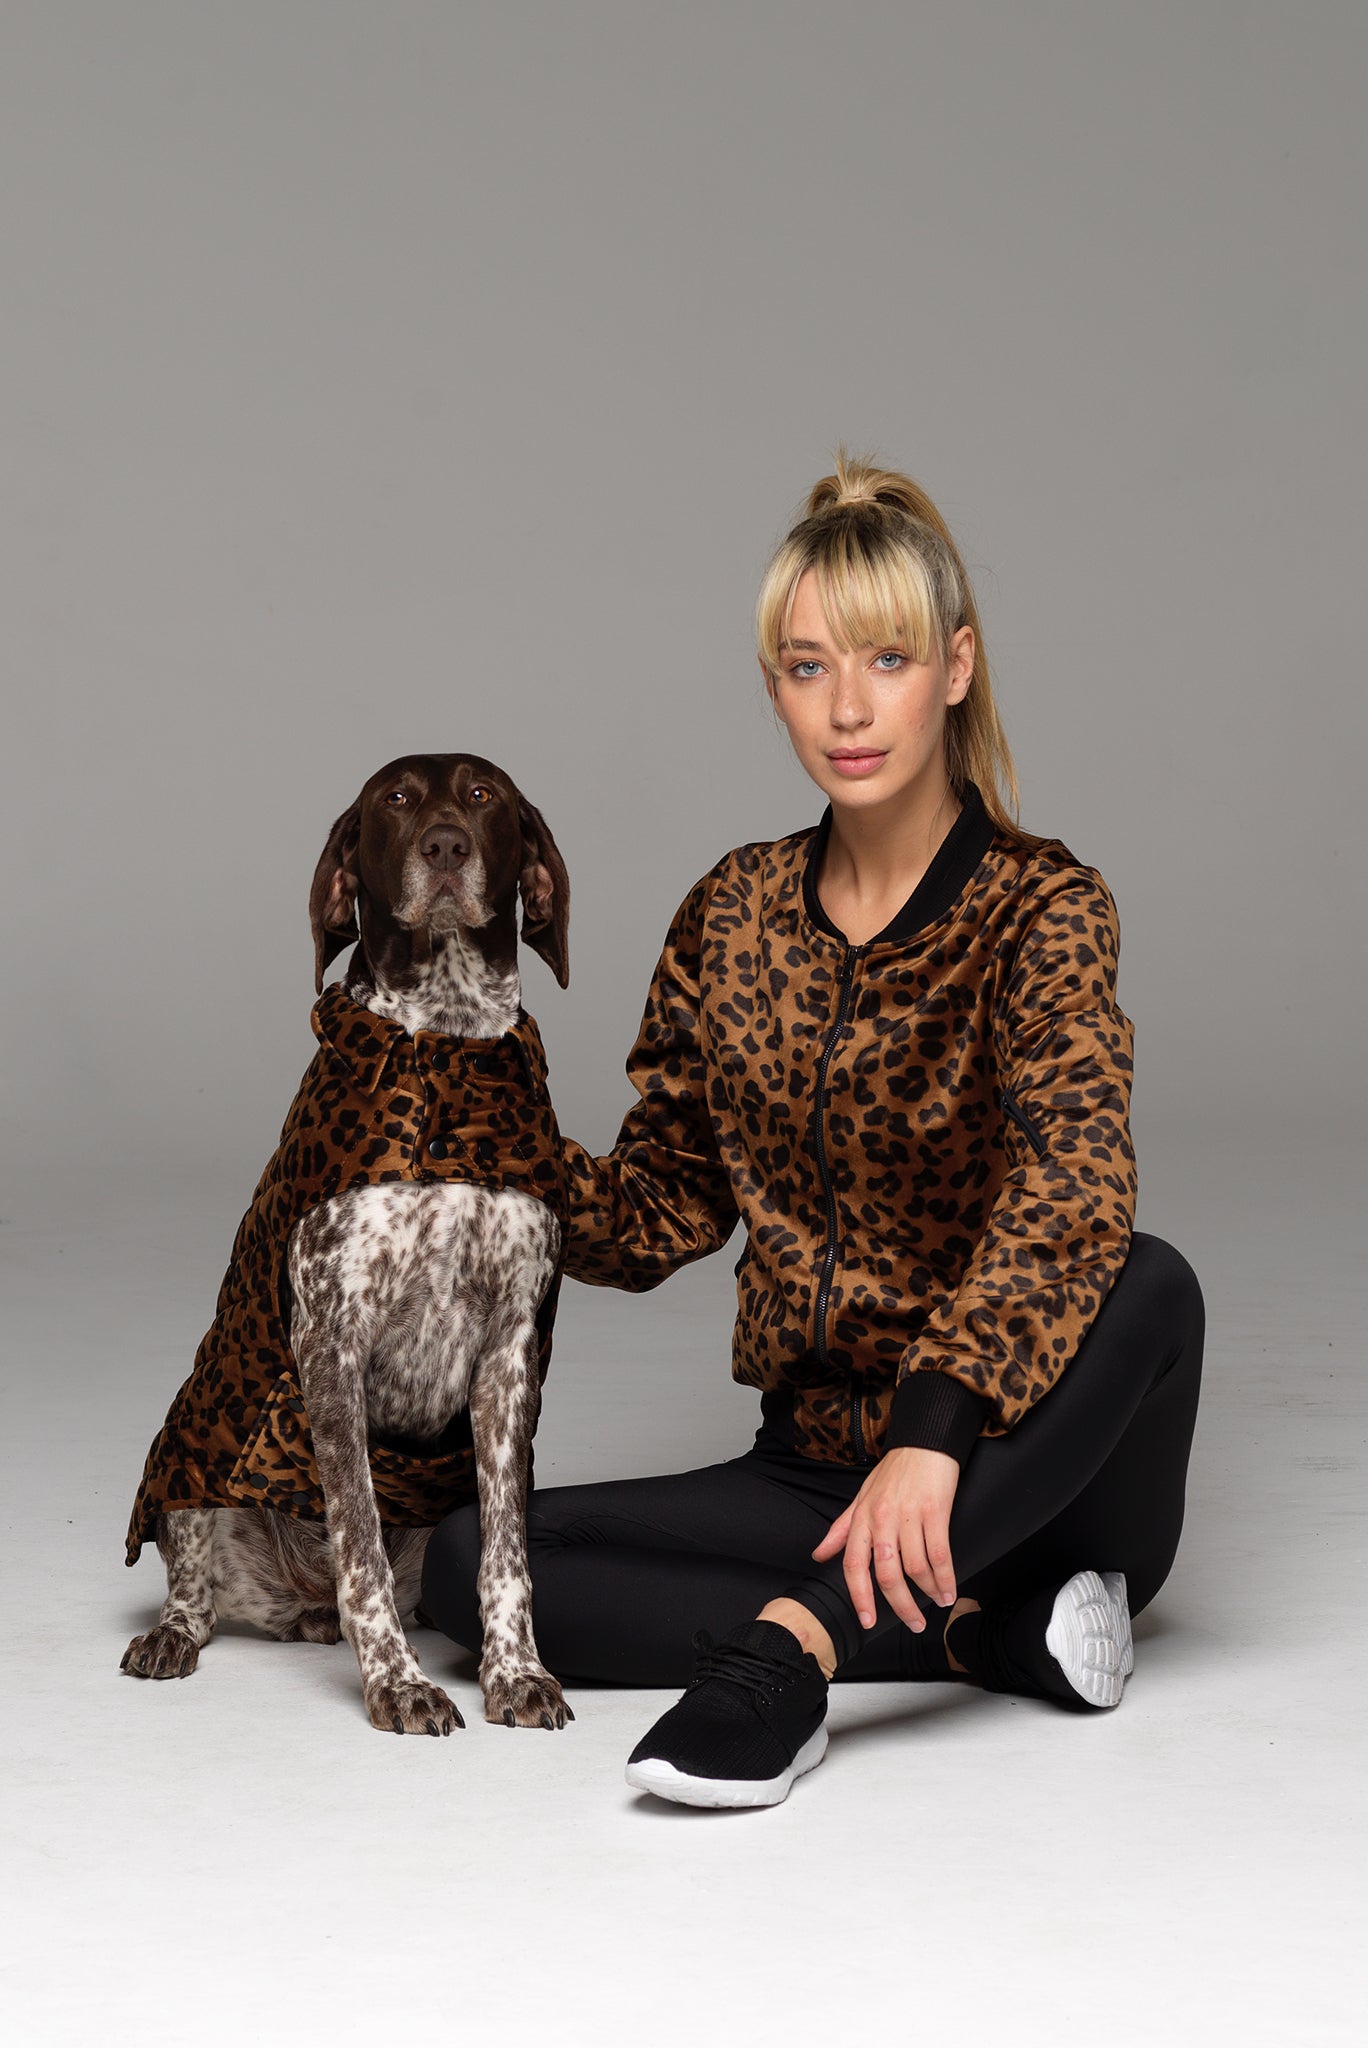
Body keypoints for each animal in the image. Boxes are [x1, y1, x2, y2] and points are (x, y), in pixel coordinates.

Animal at [122, 761, 577, 1736]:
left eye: (483, 796)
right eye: (395, 801)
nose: (444, 845)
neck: (447, 1039)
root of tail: (297, 1601)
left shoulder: (510, 1359)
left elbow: (506, 1556)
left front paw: (515, 1671)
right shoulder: (332, 1344)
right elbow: (359, 1539)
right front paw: (398, 1683)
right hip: (186, 1449)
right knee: (195, 1588)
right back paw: (173, 1635)